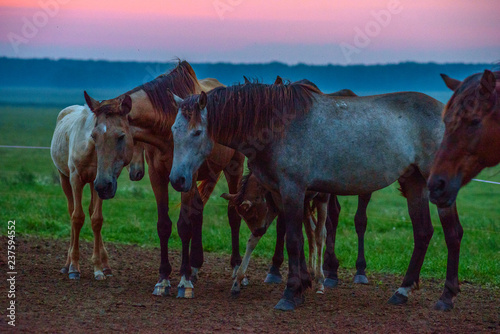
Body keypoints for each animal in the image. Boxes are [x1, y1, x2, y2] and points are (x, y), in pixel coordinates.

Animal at [50, 103, 145, 280]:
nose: (138, 173)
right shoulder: (76, 180)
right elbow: (77, 218)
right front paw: (74, 268)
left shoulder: (101, 183)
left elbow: (96, 219)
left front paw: (99, 269)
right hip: (64, 178)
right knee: (72, 211)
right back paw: (67, 265)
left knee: (90, 211)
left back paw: (105, 265)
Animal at [83, 60, 245, 298]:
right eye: (93, 136)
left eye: (121, 136)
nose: (103, 185)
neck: (168, 126)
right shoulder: (158, 177)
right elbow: (164, 225)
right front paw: (163, 279)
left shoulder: (187, 176)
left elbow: (184, 225)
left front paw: (184, 282)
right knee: (198, 212)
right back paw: (195, 265)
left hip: (234, 168)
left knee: (233, 215)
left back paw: (236, 269)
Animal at [170, 81, 462, 310]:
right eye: (173, 130)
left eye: (197, 132)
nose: (177, 179)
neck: (275, 126)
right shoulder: (280, 194)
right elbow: (295, 237)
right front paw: (302, 286)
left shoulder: (293, 190)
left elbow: (294, 240)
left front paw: (290, 294)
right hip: (413, 182)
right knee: (423, 232)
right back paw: (402, 291)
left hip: (438, 187)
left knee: (452, 233)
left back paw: (446, 297)